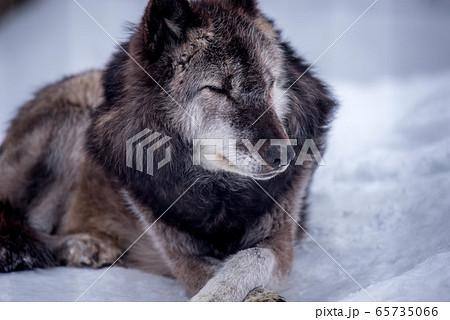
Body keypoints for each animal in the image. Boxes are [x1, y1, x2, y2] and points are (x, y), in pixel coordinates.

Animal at [0, 0, 336, 302]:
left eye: (270, 83)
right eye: (219, 89)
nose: (284, 156)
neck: (220, 193)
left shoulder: (281, 241)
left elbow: (251, 257)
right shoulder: (180, 255)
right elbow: (216, 272)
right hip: (73, 121)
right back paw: (85, 247)